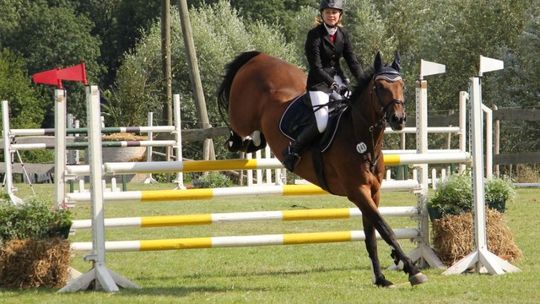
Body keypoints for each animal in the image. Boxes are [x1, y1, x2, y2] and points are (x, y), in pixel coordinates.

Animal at [217, 51, 428, 286]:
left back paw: (253, 142)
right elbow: (385, 228)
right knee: (237, 129)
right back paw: (237, 141)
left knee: (256, 138)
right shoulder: (358, 192)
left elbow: (371, 234)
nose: (398, 119)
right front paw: (412, 269)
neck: (360, 138)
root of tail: (259, 56)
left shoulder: (373, 192)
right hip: (241, 115)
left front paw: (381, 278)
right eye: (379, 86)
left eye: (402, 85)